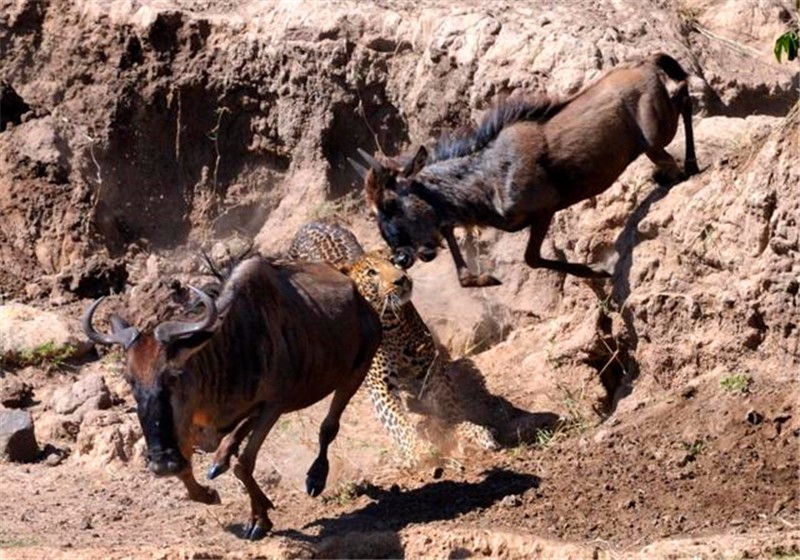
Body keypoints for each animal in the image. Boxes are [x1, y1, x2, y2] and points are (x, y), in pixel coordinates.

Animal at [288, 221, 500, 462]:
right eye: (372, 273)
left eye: (393, 261)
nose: (401, 280)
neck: (391, 323)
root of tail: (309, 224)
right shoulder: (381, 383)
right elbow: (397, 420)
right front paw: (419, 450)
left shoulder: (429, 365)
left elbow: (448, 402)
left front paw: (468, 429)